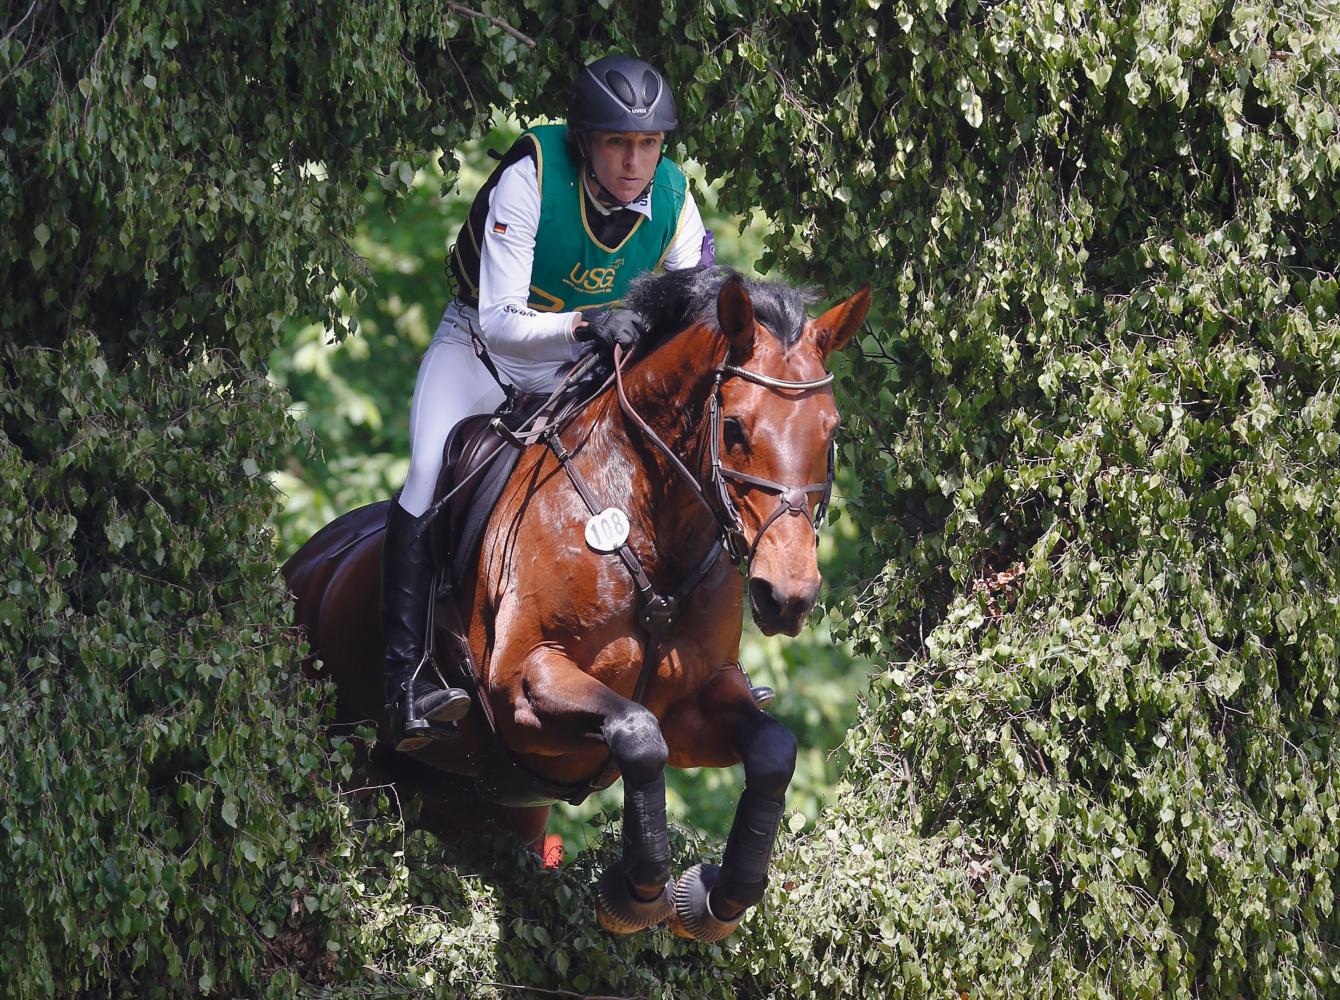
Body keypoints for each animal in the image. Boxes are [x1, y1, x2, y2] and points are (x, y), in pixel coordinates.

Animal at [284, 269, 868, 938]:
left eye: (831, 430)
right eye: (736, 428)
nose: (786, 596)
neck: (651, 527)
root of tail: (303, 562)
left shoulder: (693, 706)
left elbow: (771, 751)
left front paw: (717, 895)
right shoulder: (520, 686)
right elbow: (638, 736)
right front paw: (636, 892)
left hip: (482, 808)